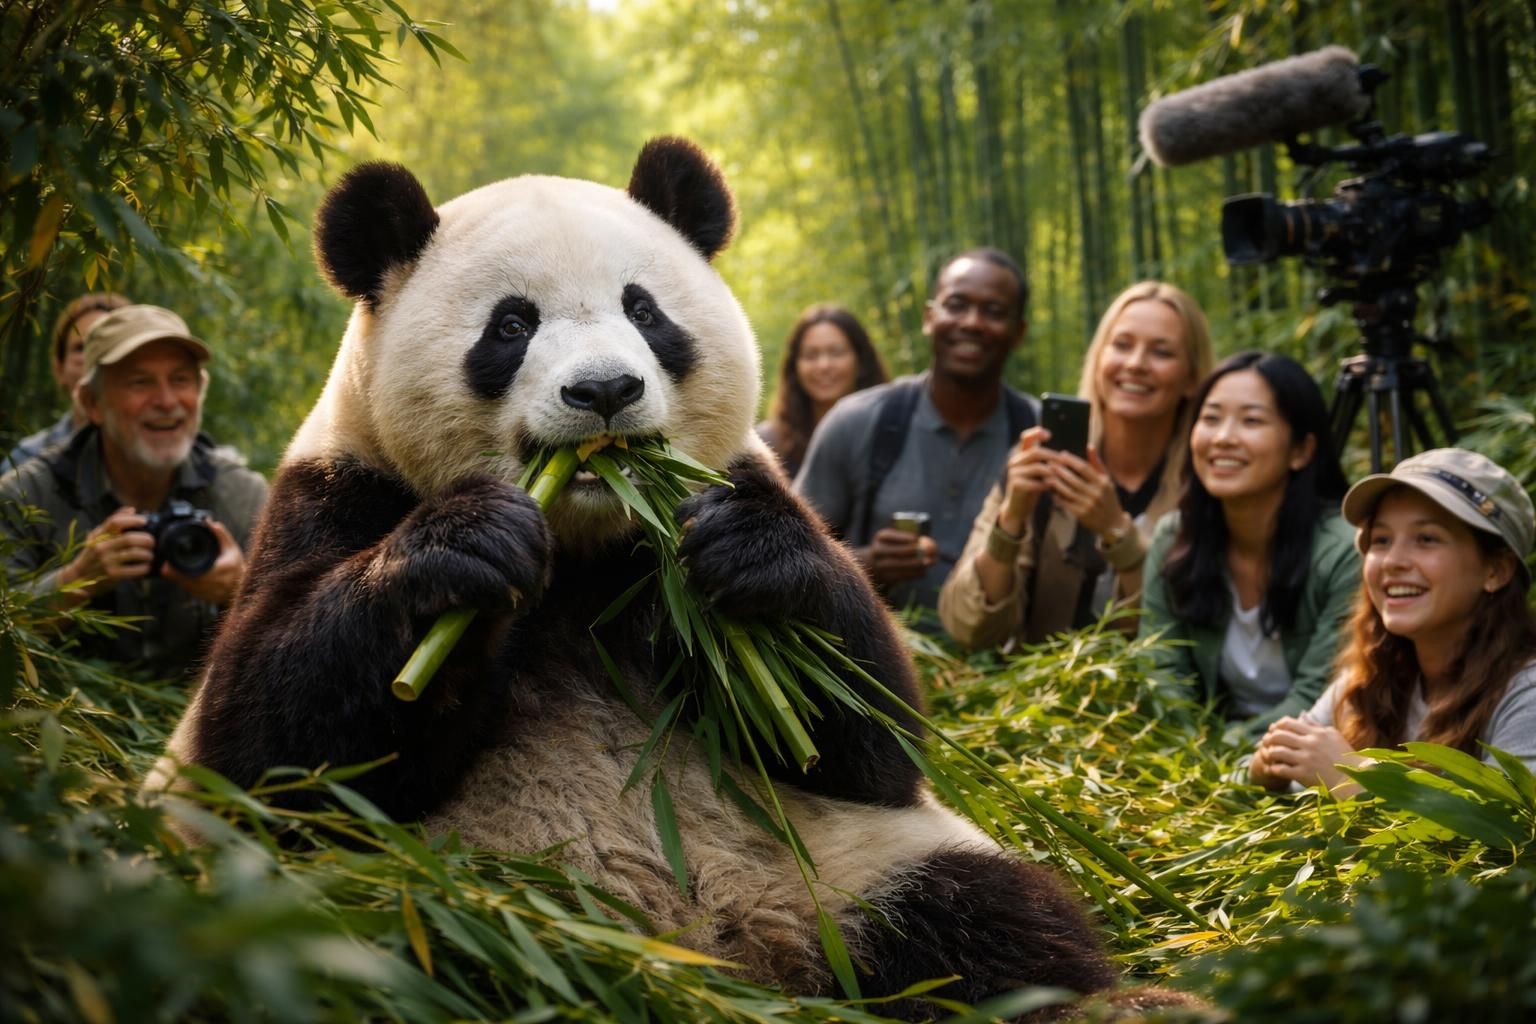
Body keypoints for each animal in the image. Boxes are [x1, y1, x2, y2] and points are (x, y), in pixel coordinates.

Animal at [148, 137, 1181, 1019]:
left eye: (645, 310)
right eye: (511, 325)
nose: (605, 391)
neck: (589, 549)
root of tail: (728, 949)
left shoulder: (741, 487)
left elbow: (868, 731)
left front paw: (750, 561)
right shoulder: (335, 493)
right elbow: (269, 750)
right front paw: (463, 552)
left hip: (851, 864)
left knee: (990, 921)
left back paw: (1121, 1003)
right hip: (424, 896)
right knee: (383, 951)